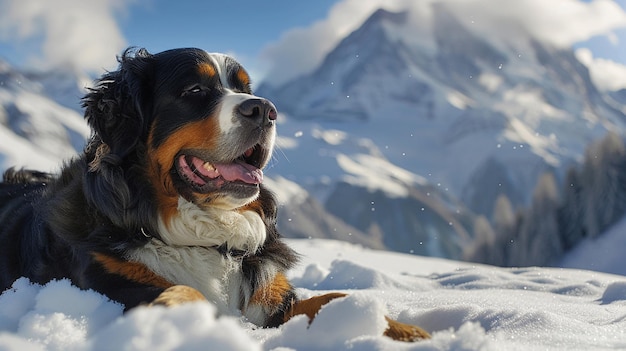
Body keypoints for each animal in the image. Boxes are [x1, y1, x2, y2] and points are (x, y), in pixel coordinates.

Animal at [0, 48, 426, 342]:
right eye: (194, 90)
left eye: (246, 89)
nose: (265, 110)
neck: (202, 232)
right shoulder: (112, 280)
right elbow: (184, 289)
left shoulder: (269, 291)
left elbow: (330, 298)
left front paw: (403, 329)